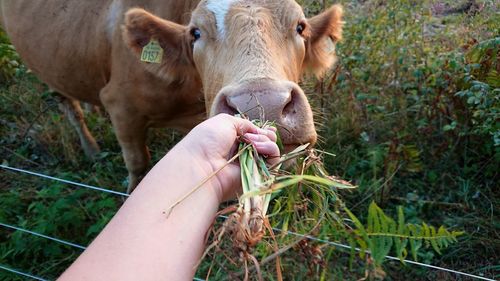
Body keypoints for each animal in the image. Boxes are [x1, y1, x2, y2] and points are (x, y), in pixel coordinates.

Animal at [0, 0, 342, 191]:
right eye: (195, 33)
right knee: (68, 105)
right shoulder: (121, 107)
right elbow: (138, 165)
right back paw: (91, 148)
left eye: (300, 27)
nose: (265, 106)